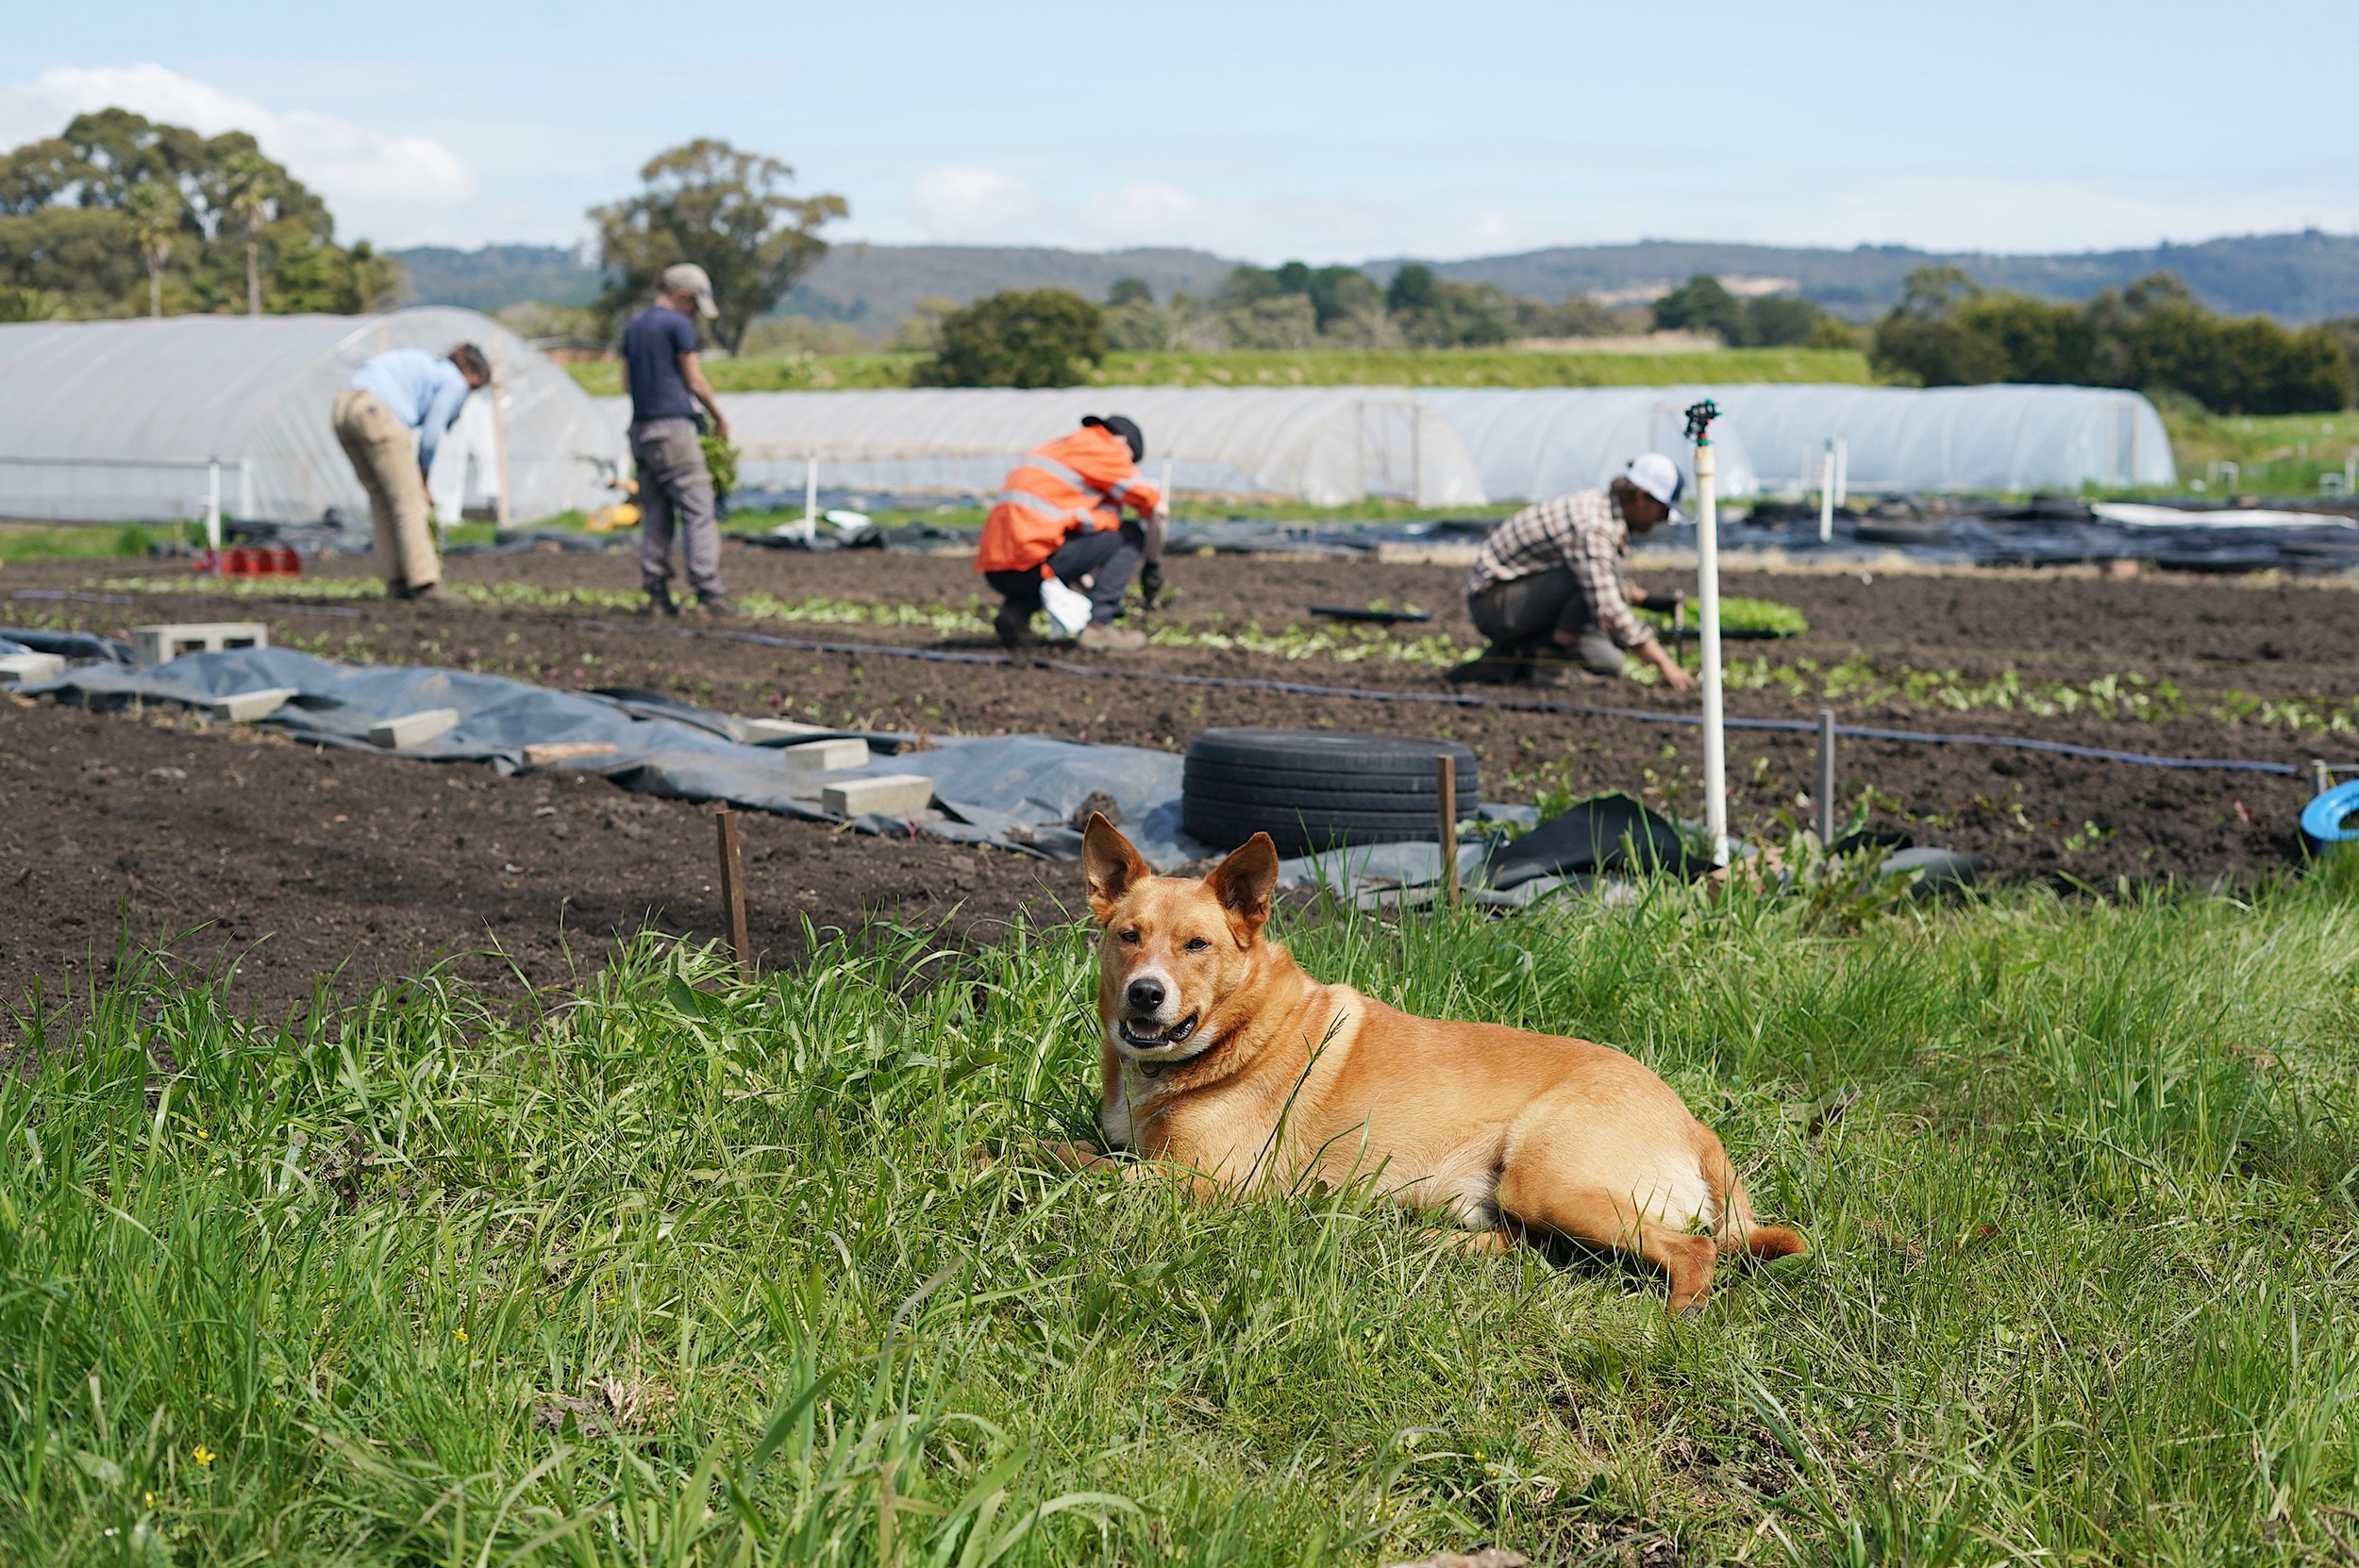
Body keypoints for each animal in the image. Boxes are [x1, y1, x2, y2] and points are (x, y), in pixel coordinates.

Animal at [1052, 810, 1802, 1310]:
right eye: (1129, 935)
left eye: (1197, 945)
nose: (1145, 994)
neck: (1245, 1027)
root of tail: (1693, 1124)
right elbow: (1087, 1151)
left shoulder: (1206, 1182)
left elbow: (1075, 1161)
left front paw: (1027, 1156)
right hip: (1516, 1200)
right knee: (1527, 1247)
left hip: (1549, 1180)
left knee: (1694, 1252)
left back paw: (1672, 1320)